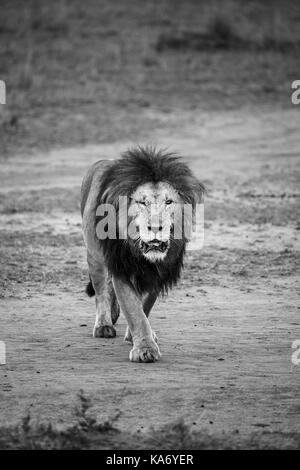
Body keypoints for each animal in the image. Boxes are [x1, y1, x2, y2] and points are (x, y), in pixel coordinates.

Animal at [81, 147, 205, 364]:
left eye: (168, 202)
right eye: (141, 202)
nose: (155, 227)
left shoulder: (159, 272)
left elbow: (144, 306)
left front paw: (136, 337)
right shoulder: (121, 268)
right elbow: (134, 309)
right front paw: (145, 349)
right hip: (95, 256)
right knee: (101, 290)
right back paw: (104, 325)